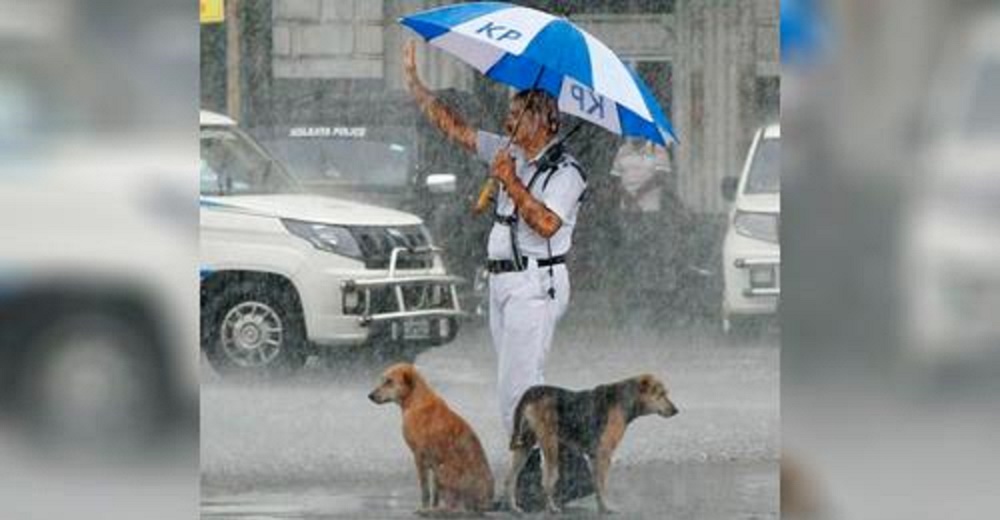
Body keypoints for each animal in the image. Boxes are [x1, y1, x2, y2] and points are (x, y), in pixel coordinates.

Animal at [370, 364, 494, 512]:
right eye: (382, 379)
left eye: (389, 381)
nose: (370, 396)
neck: (415, 400)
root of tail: (486, 502)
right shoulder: (433, 461)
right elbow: (435, 494)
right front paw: (433, 506)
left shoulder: (419, 456)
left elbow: (425, 490)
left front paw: (424, 507)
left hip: (444, 471)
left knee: (454, 504)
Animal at [504, 374, 676, 516]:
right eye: (661, 394)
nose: (676, 410)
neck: (625, 399)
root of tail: (533, 391)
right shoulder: (604, 454)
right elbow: (602, 484)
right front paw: (607, 508)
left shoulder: (595, 456)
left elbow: (597, 485)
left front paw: (601, 507)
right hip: (550, 446)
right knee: (546, 482)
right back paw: (552, 508)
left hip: (525, 445)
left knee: (511, 479)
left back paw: (514, 508)